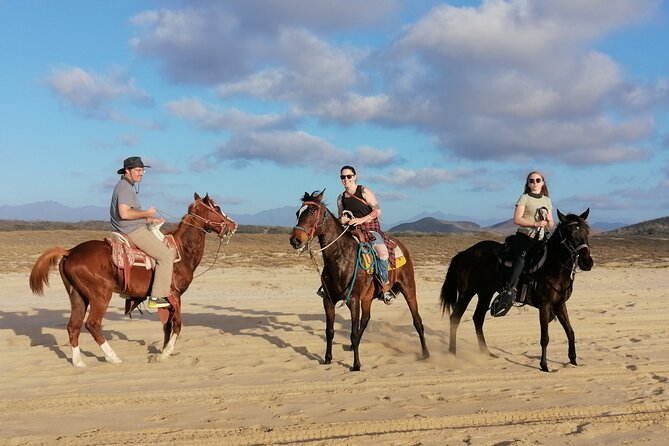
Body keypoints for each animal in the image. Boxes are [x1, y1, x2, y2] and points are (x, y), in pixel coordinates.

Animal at [29, 193, 237, 368]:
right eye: (217, 207)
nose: (233, 225)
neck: (181, 250)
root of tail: (70, 252)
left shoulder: (167, 301)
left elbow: (167, 326)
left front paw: (163, 351)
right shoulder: (175, 295)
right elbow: (177, 324)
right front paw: (165, 354)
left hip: (78, 296)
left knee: (73, 326)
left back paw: (78, 362)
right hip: (100, 295)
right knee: (92, 324)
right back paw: (113, 357)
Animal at [288, 190, 428, 372]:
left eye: (312, 212)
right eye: (298, 212)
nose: (295, 240)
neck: (341, 257)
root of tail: (401, 246)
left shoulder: (353, 300)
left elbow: (353, 333)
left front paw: (356, 365)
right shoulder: (328, 301)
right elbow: (330, 331)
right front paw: (327, 359)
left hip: (408, 288)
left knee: (417, 321)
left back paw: (425, 354)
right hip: (367, 298)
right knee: (366, 319)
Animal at [440, 211, 592, 372]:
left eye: (586, 231)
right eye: (570, 234)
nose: (587, 263)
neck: (553, 267)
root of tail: (465, 252)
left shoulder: (559, 304)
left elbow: (570, 331)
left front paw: (573, 360)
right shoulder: (545, 305)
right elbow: (545, 337)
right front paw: (544, 365)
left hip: (485, 293)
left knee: (478, 318)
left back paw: (486, 352)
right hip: (466, 293)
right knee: (455, 318)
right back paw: (452, 353)